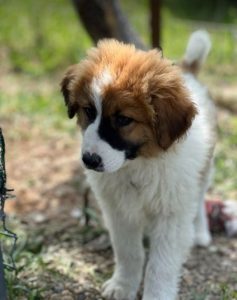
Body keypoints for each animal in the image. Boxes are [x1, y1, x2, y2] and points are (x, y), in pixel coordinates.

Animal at [60, 31, 215, 300]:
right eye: (89, 111)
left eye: (124, 120)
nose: (89, 160)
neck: (138, 164)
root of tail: (187, 71)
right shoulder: (119, 211)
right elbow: (128, 252)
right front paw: (122, 286)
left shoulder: (171, 214)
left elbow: (161, 265)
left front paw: (156, 295)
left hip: (202, 174)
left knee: (199, 200)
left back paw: (200, 232)